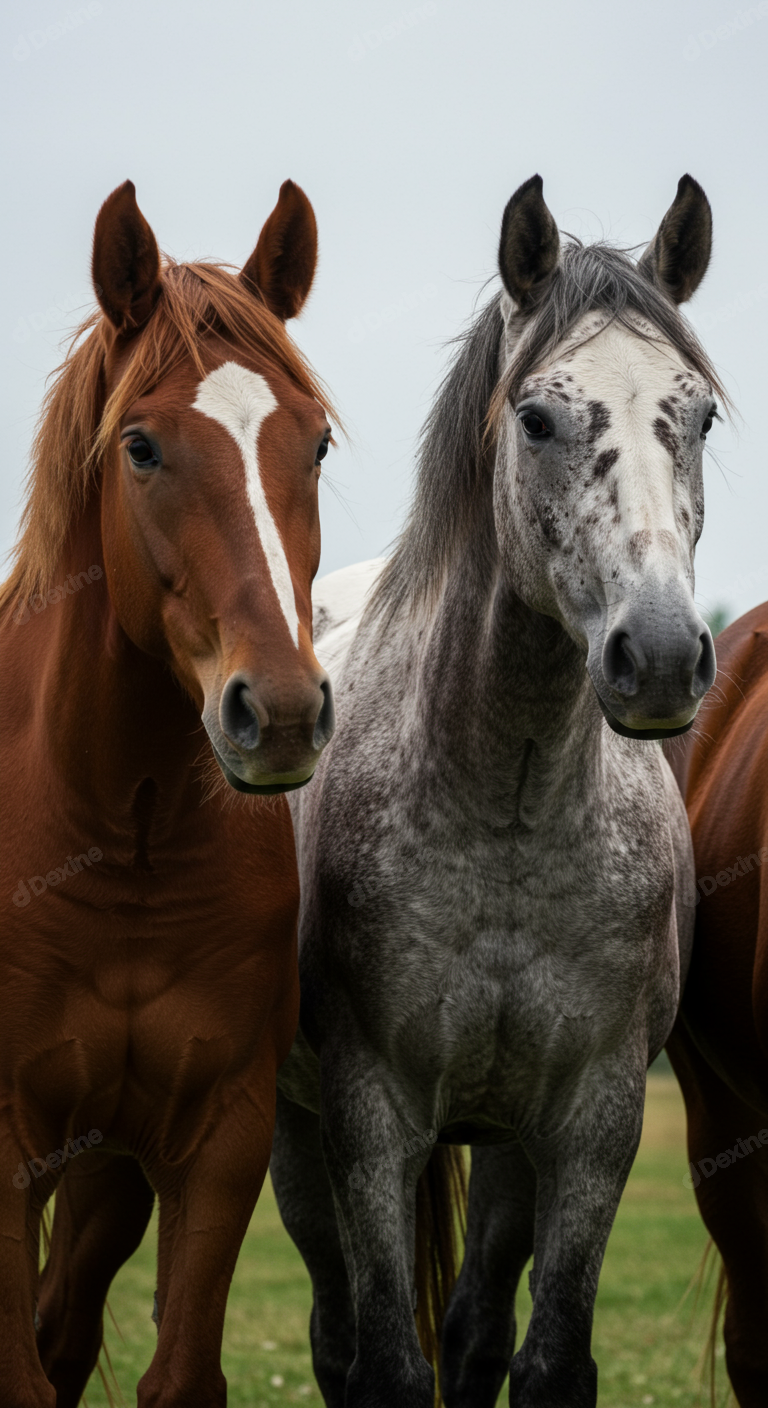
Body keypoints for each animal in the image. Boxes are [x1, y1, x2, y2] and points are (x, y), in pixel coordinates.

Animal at [0, 177, 336, 1407]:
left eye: (316, 441)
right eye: (140, 446)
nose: (278, 710)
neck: (122, 840)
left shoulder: (218, 1134)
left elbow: (175, 1373)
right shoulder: (6, 1141)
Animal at [270, 173, 726, 1408]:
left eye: (701, 416)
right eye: (537, 419)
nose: (660, 656)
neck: (509, 812)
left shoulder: (592, 1120)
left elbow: (545, 1353)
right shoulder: (371, 1117)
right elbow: (385, 1359)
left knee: (474, 1327)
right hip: (296, 1135)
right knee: (334, 1332)